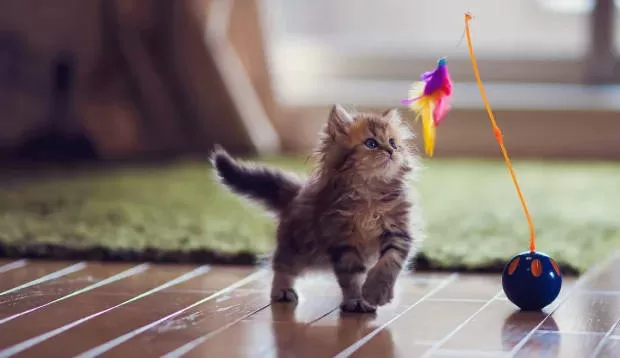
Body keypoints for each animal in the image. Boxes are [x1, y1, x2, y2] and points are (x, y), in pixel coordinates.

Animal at [212, 105, 422, 312]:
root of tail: (297, 193)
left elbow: (390, 261)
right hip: (300, 246)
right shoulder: (341, 239)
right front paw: (356, 300)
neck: (370, 193)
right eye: (371, 143)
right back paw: (282, 290)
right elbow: (351, 275)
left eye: (393, 143)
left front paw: (376, 292)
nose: (391, 151)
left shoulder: (398, 230)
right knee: (282, 265)